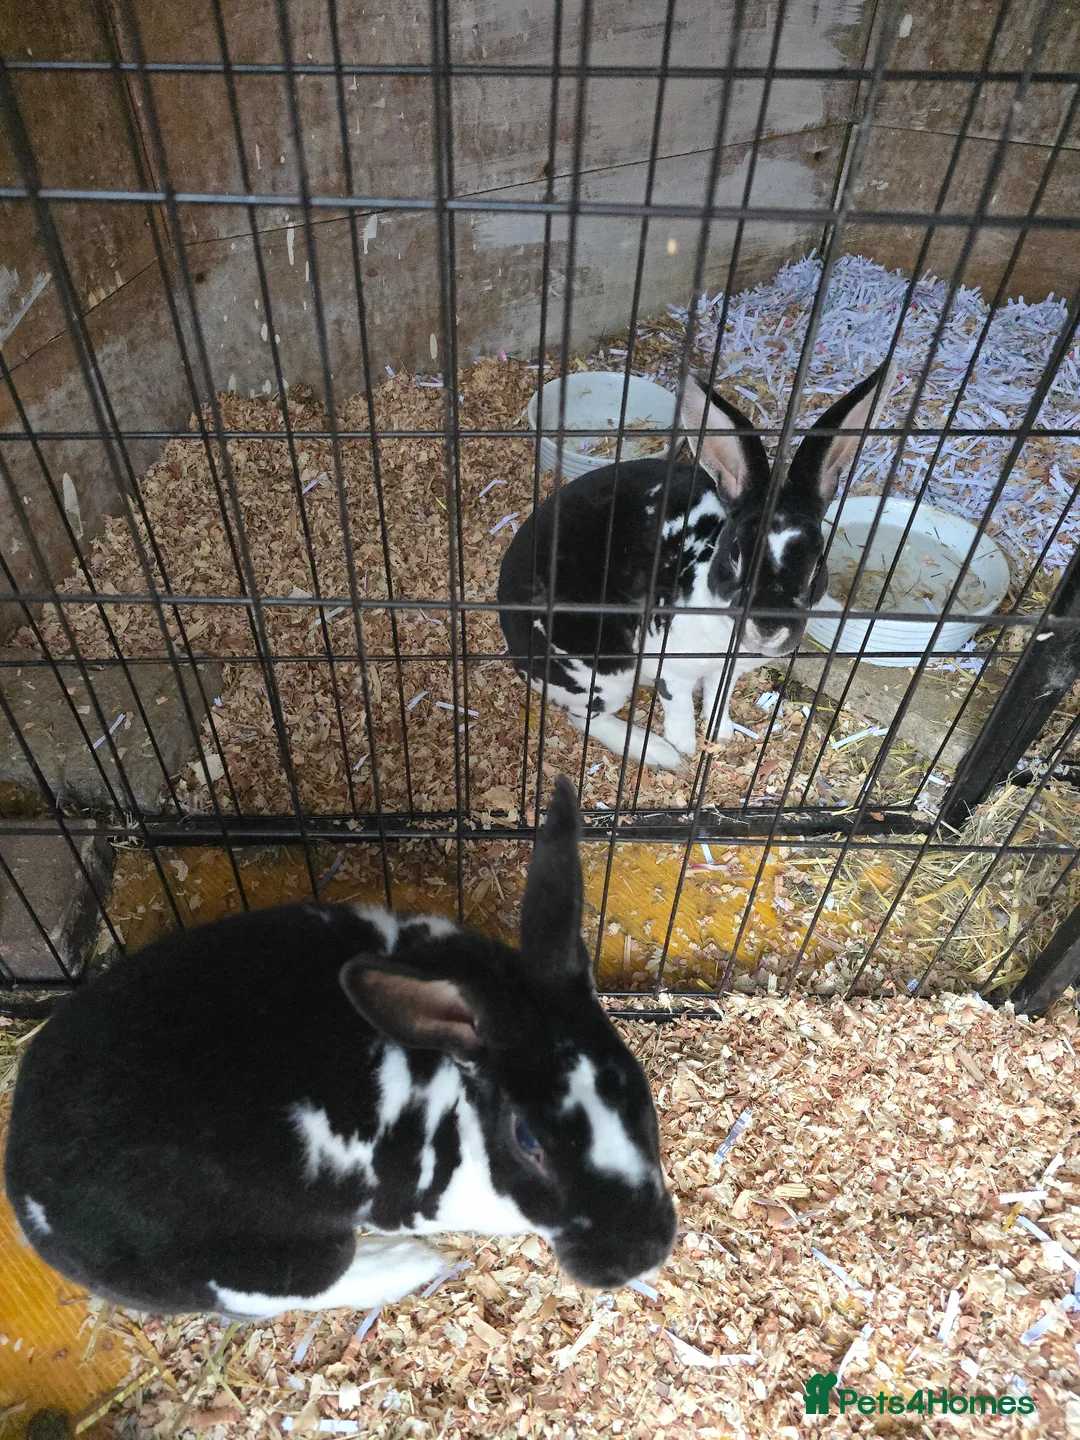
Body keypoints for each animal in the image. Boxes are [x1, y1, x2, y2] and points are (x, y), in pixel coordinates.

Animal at [3, 776, 676, 1320]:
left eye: (637, 1088)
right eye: (527, 1139)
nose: (641, 1254)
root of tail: (22, 1181)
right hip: (264, 1257)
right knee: (299, 1288)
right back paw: (408, 1263)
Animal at [498, 361, 894, 771]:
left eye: (818, 561)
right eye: (735, 553)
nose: (768, 629)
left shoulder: (725, 671)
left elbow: (719, 698)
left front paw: (722, 733)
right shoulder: (671, 668)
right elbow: (680, 708)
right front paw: (685, 749)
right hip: (604, 675)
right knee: (585, 717)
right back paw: (657, 752)